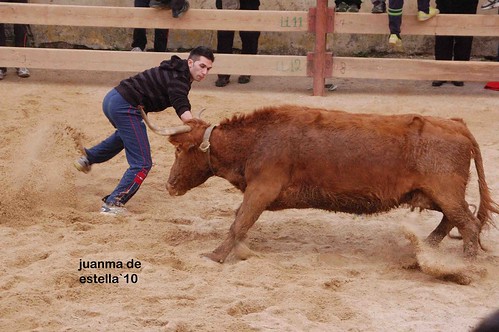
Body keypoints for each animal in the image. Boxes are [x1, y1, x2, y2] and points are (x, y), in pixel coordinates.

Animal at [142, 105, 499, 264]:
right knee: (456, 218)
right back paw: (427, 248)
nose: (170, 185)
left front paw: (216, 255)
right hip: (435, 194)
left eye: (178, 150)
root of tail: (456, 125)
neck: (257, 140)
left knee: (467, 223)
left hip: (444, 190)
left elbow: (239, 222)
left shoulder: (261, 189)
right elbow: (239, 221)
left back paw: (463, 266)